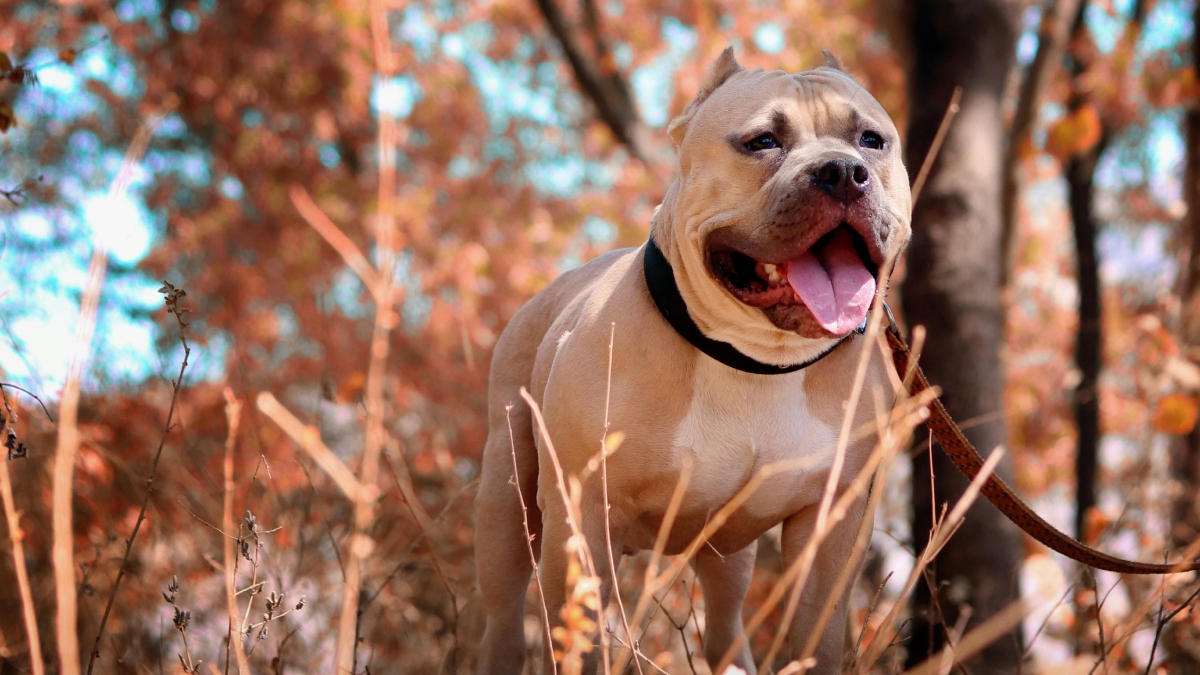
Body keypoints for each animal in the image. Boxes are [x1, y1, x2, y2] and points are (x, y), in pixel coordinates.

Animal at [472, 48, 912, 672]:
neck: (752, 359)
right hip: (506, 504)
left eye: (871, 140)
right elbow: (579, 638)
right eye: (761, 141)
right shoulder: (580, 517)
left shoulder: (832, 530)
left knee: (724, 625)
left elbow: (815, 637)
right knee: (504, 614)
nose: (843, 172)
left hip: (729, 561)